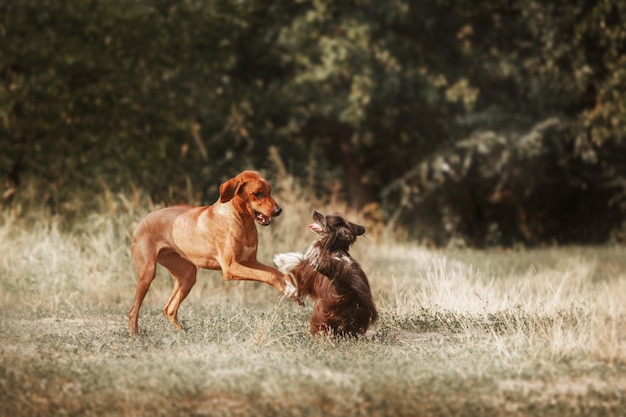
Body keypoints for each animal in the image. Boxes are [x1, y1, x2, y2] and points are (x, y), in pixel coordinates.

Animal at [127, 170, 298, 334]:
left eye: (270, 191)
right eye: (257, 193)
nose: (279, 210)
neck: (242, 221)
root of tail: (144, 219)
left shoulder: (250, 262)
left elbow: (277, 272)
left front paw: (292, 287)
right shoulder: (231, 268)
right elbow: (269, 276)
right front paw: (287, 288)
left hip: (187, 276)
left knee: (169, 309)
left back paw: (183, 333)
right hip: (148, 274)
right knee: (133, 311)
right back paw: (135, 337)